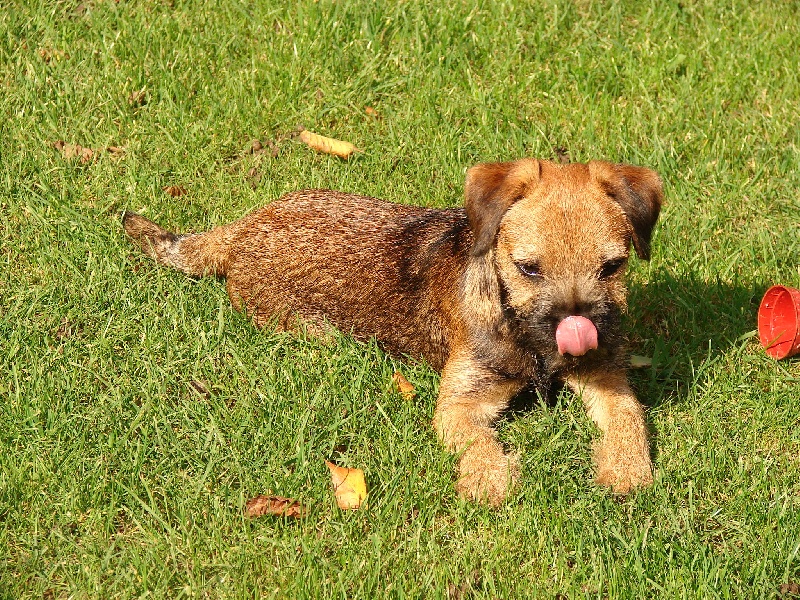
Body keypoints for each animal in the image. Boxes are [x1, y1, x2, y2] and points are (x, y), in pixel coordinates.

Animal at [123, 159, 664, 506]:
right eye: (528, 269)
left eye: (612, 267)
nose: (577, 330)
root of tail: (240, 228)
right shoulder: (461, 403)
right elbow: (476, 439)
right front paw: (490, 480)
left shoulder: (605, 375)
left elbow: (629, 416)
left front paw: (625, 469)